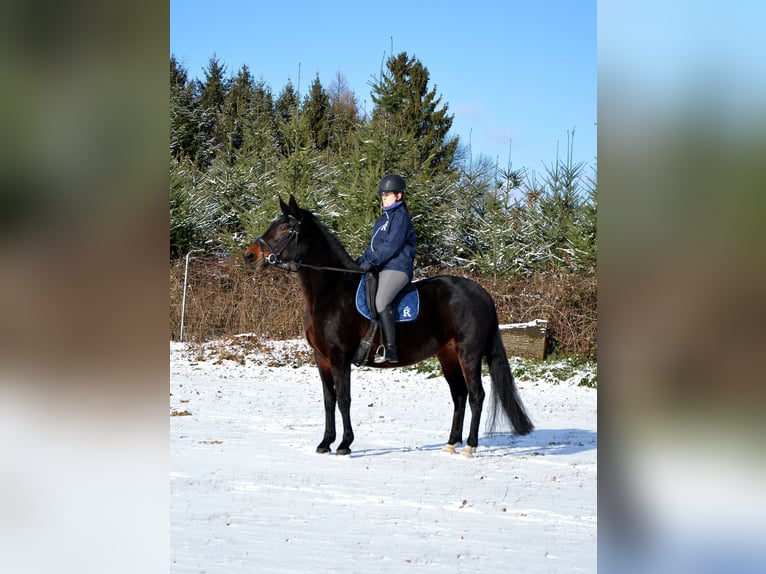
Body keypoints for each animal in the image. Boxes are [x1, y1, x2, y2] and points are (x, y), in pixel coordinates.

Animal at [244, 195, 533, 457]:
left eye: (285, 228)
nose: (249, 255)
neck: (330, 292)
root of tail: (483, 293)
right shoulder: (321, 357)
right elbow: (328, 400)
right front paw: (325, 443)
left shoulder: (339, 357)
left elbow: (344, 399)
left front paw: (345, 444)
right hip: (448, 354)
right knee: (460, 395)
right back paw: (451, 443)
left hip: (469, 354)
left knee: (476, 395)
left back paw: (470, 446)